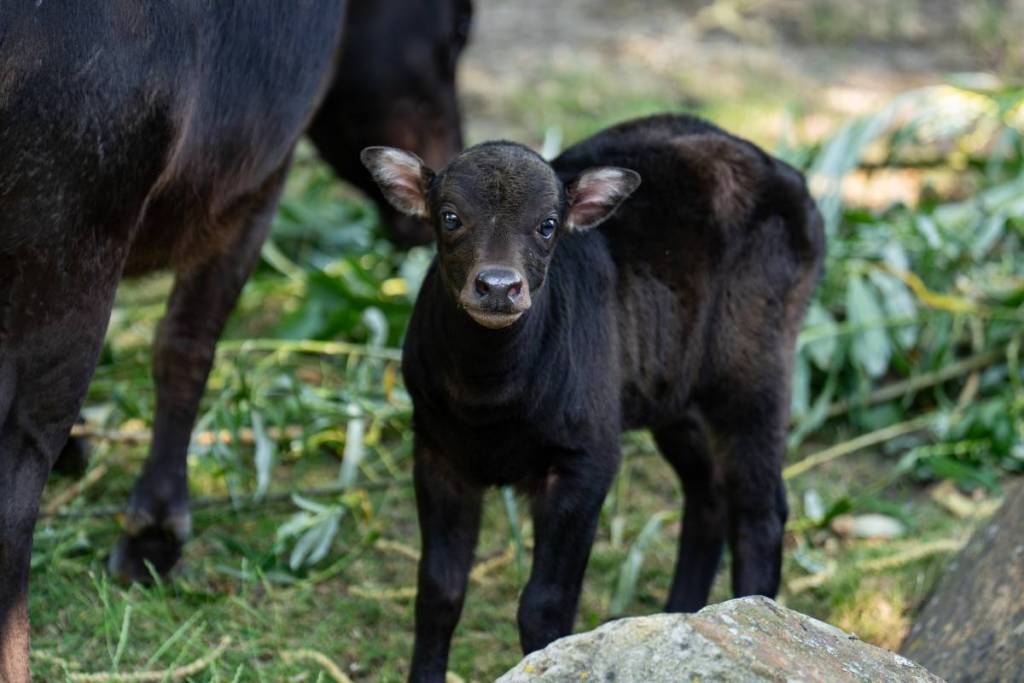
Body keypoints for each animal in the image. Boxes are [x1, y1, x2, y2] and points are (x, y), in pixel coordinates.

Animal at [361, 113, 825, 682]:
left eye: (548, 224)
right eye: (449, 217)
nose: (498, 286)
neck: (490, 397)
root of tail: (788, 175)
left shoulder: (586, 459)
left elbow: (545, 604)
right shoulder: (436, 451)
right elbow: (438, 592)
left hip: (755, 372)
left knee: (760, 510)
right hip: (673, 393)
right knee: (709, 494)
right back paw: (684, 616)